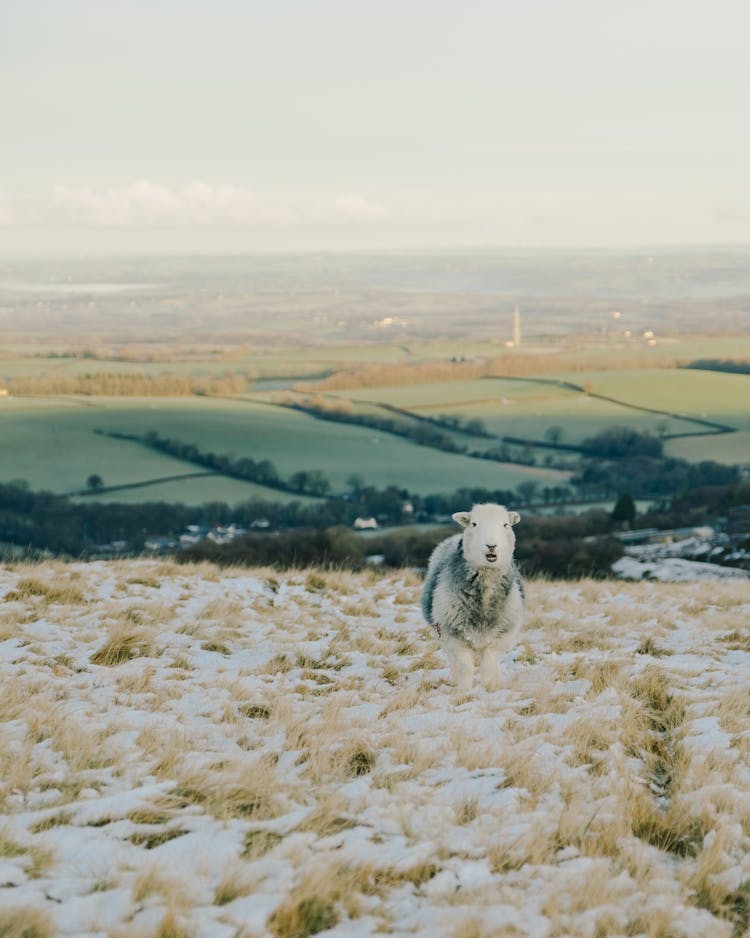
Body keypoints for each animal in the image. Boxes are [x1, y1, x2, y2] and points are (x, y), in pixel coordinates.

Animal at [424, 500, 524, 692]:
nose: (491, 546)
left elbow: (489, 665)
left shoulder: (499, 638)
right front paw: (463, 691)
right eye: (474, 524)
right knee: (454, 663)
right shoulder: (454, 636)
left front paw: (489, 688)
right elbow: (465, 667)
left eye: (505, 524)